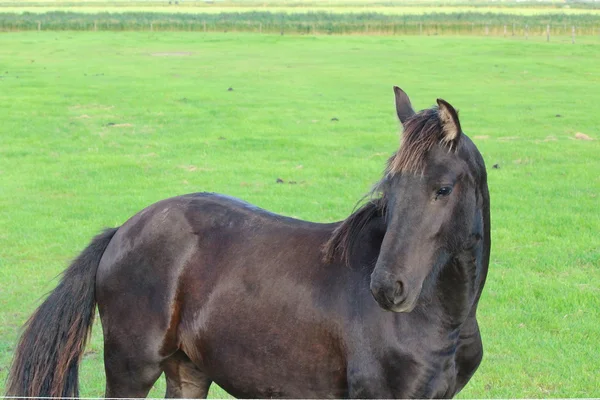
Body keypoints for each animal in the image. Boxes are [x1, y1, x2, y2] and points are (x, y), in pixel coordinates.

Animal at [7, 86, 490, 396]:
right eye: (389, 189)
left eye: (443, 189)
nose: (388, 288)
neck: (441, 320)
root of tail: (121, 231)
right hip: (132, 369)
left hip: (188, 371)